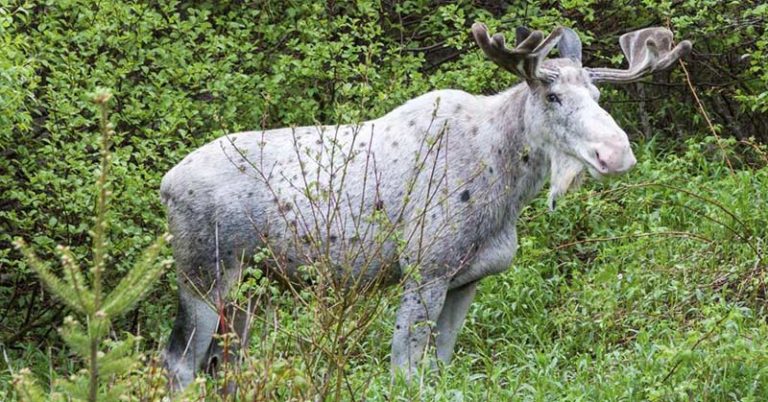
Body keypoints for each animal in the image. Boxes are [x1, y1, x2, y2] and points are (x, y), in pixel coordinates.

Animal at [160, 22, 692, 388]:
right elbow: (404, 369)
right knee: (179, 361)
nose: (617, 153)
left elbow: (439, 366)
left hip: (254, 289)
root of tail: (165, 184)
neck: (505, 185)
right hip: (203, 275)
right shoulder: (425, 270)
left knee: (227, 365)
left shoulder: (467, 280)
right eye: (553, 95)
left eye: (599, 93)